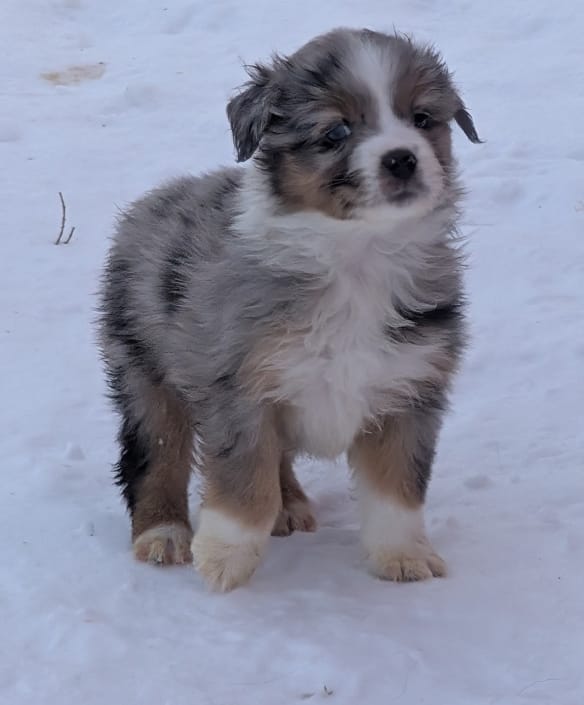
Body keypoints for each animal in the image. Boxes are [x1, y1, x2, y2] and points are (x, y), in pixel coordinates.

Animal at [98, 27, 480, 592]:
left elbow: (397, 487)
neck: (355, 255)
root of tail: (157, 198)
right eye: (336, 131)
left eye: (422, 118)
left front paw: (403, 556)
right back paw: (163, 534)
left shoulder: (408, 388)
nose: (402, 158)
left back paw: (289, 506)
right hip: (145, 370)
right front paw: (225, 558)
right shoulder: (237, 388)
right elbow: (243, 480)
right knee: (157, 451)